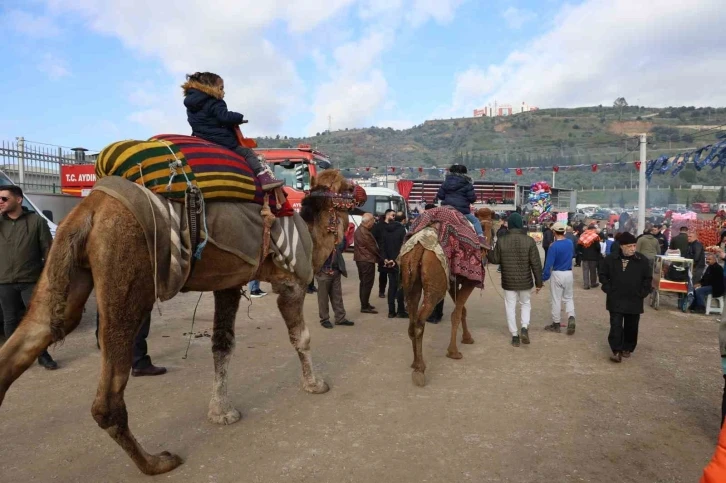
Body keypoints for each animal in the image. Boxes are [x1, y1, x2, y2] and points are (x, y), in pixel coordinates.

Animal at [0, 132, 362, 476]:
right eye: (346, 187)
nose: (361, 196)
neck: (311, 237)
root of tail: (90, 208)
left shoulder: (228, 284)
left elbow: (221, 345)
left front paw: (221, 412)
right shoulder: (290, 280)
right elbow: (301, 337)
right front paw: (315, 384)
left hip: (66, 266)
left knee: (39, 330)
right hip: (126, 270)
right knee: (106, 399)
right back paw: (156, 462)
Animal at [398, 206, 494, 388]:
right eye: (492, 226)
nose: (489, 248)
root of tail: (420, 245)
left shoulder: (452, 280)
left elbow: (462, 309)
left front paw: (467, 338)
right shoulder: (469, 280)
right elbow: (457, 312)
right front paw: (454, 352)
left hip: (411, 280)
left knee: (412, 319)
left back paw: (415, 363)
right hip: (436, 283)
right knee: (420, 321)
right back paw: (420, 370)